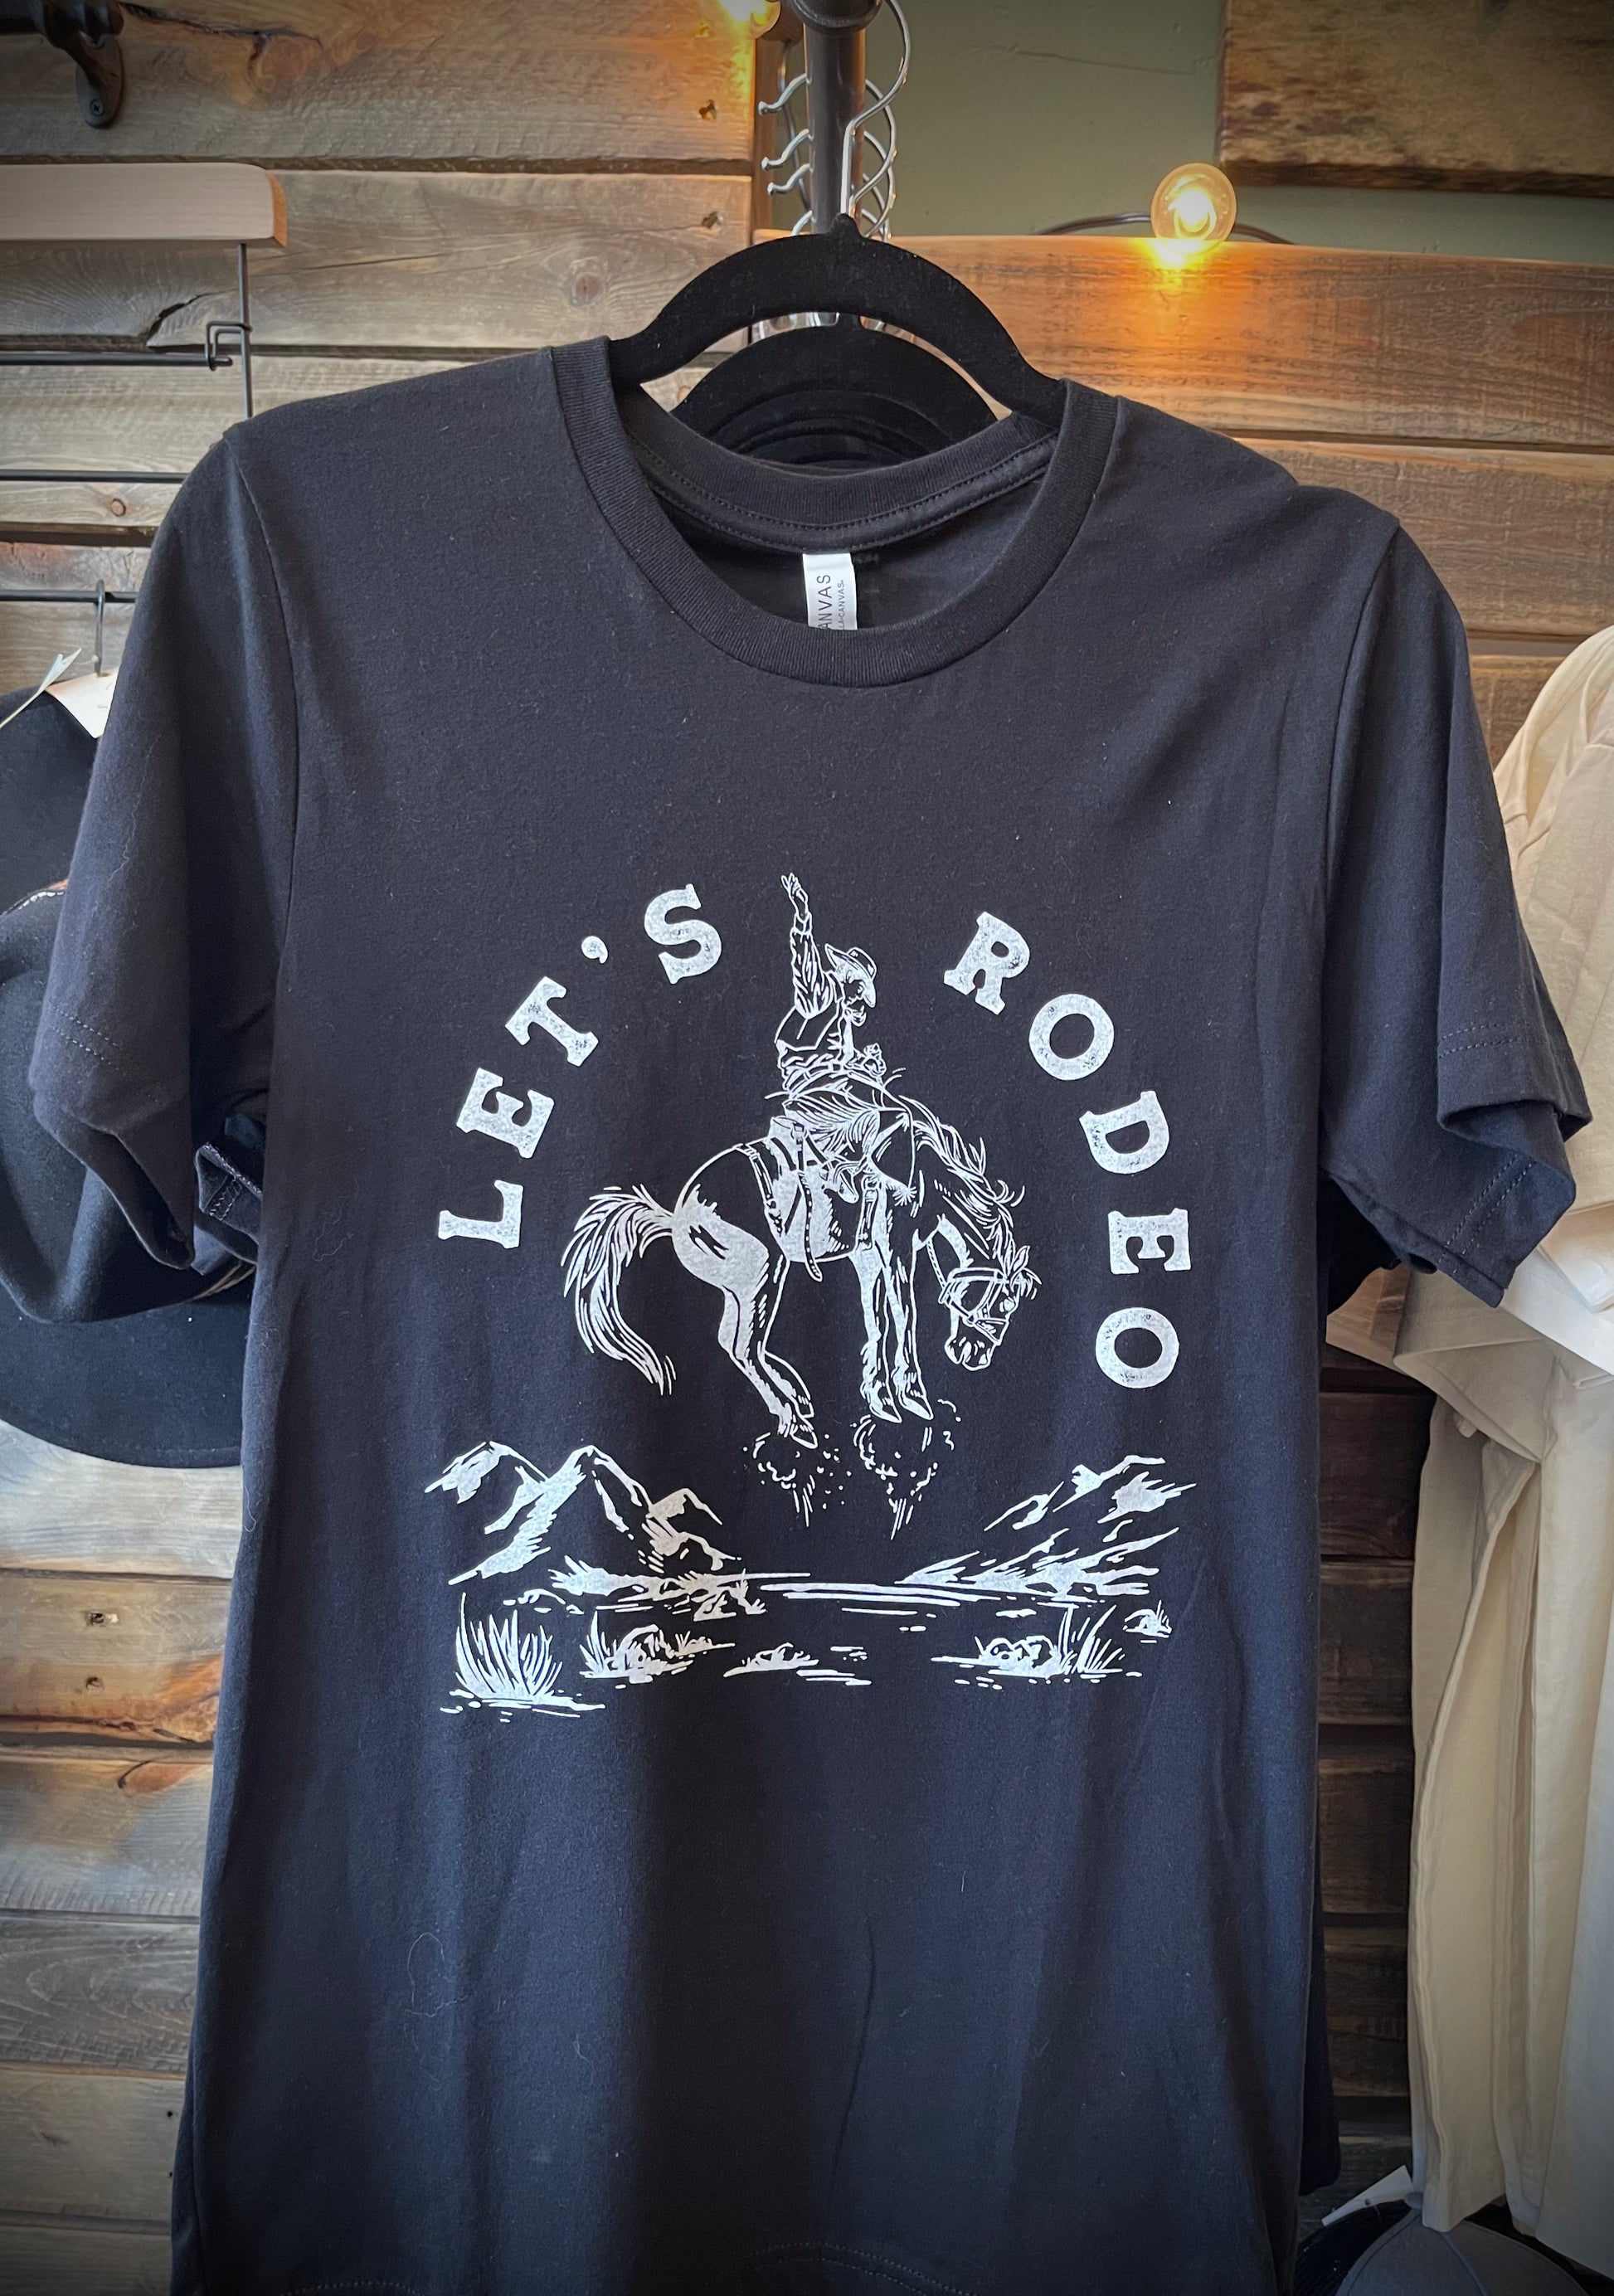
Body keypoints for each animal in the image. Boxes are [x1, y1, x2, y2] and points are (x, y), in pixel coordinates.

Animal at [561, 1098, 1037, 1451]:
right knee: (743, 1347)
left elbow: (877, 1320)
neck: (922, 1176)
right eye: (1005, 1303)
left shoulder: (868, 1258)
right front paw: (913, 1396)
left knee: (737, 1343)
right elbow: (905, 1317)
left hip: (747, 1286)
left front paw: (880, 1397)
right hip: (761, 1275)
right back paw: (793, 1417)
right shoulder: (894, 1248)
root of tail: (675, 1217)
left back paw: (794, 1395)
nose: (974, 1357)